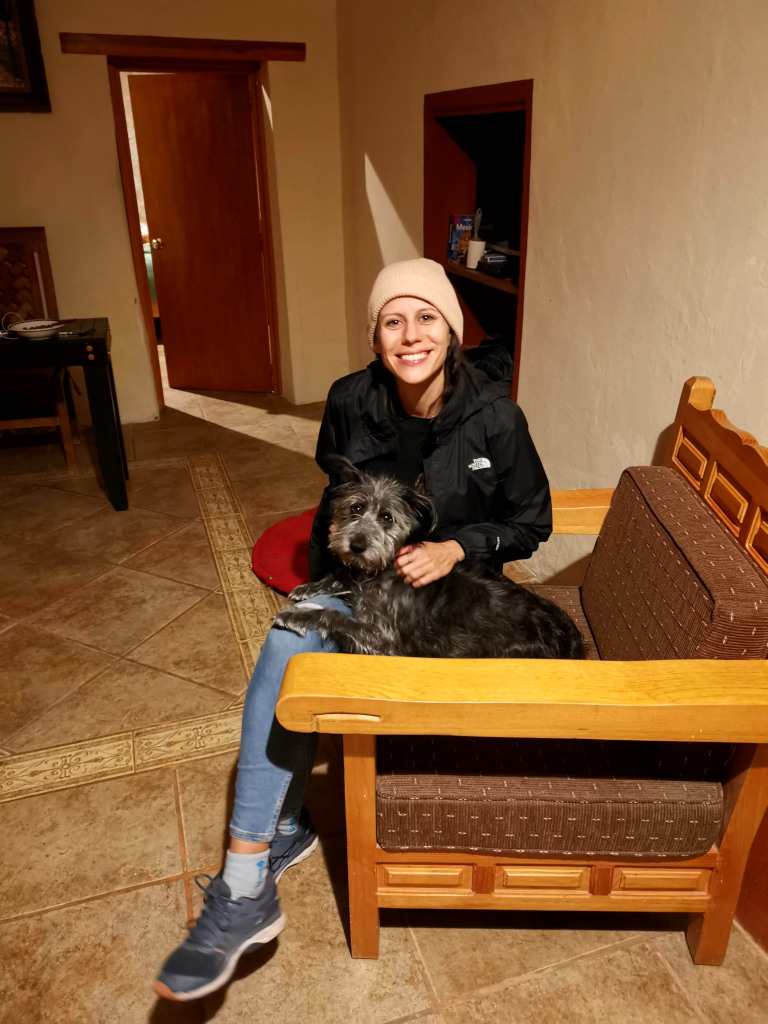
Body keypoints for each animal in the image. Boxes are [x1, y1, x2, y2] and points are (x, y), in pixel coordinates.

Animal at [274, 454, 585, 655]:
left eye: (387, 517)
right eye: (356, 508)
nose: (357, 546)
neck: (387, 568)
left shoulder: (383, 639)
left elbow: (334, 616)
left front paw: (296, 617)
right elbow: (343, 577)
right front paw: (310, 586)